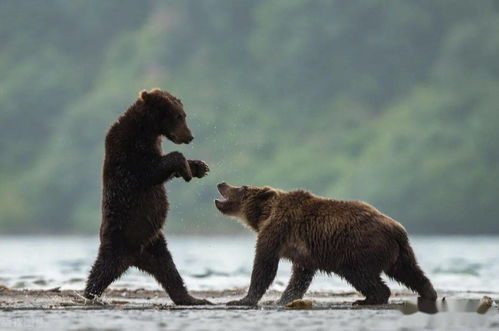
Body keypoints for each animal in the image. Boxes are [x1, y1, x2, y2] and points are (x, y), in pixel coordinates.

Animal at [83, 88, 211, 306]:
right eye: (178, 116)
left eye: (184, 115)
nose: (190, 136)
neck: (147, 130)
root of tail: (136, 258)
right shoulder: (129, 154)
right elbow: (154, 168)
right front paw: (186, 167)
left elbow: (165, 169)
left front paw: (199, 167)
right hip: (119, 240)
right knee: (102, 269)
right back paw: (88, 295)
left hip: (154, 243)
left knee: (169, 270)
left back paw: (193, 298)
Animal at [215, 183, 438, 308]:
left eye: (242, 188)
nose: (221, 183)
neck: (264, 215)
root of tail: (396, 229)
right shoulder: (304, 251)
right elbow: (300, 277)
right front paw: (283, 299)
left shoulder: (276, 231)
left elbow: (264, 265)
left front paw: (242, 300)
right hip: (399, 252)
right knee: (410, 271)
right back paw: (429, 292)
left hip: (357, 248)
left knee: (361, 274)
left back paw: (367, 298)